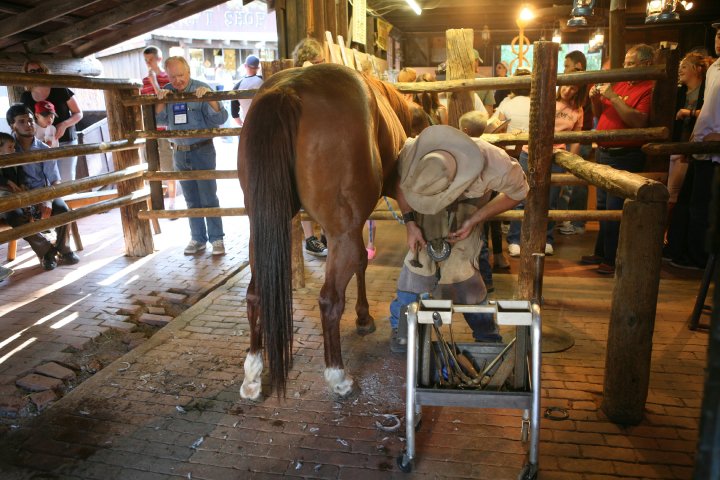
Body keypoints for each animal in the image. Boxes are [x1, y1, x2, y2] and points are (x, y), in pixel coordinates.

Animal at [239, 64, 414, 402]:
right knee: (330, 299)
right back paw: (338, 376)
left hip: (261, 228)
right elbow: (362, 262)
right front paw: (363, 318)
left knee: (256, 294)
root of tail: (288, 90)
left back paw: (253, 374)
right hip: (340, 233)